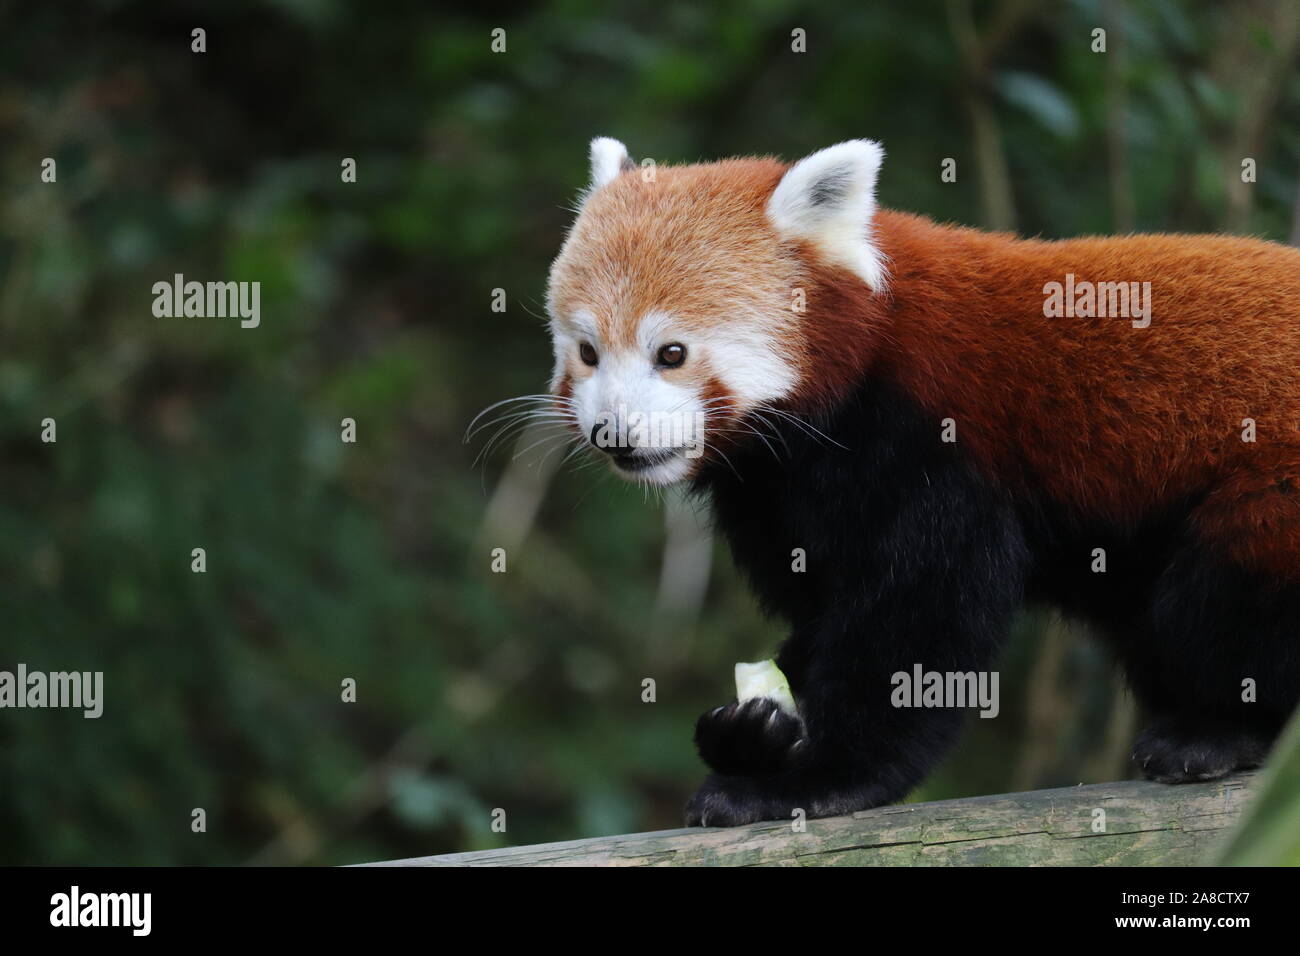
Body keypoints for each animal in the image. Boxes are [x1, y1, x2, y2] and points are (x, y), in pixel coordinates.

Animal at [541, 136, 1300, 826]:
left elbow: (919, 622)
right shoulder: (781, 495)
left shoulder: (935, 451)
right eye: (588, 352)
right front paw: (751, 730)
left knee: (1223, 599)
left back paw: (1219, 734)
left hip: (1270, 492)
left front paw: (810, 781)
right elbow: (825, 612)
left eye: (671, 353)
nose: (615, 434)